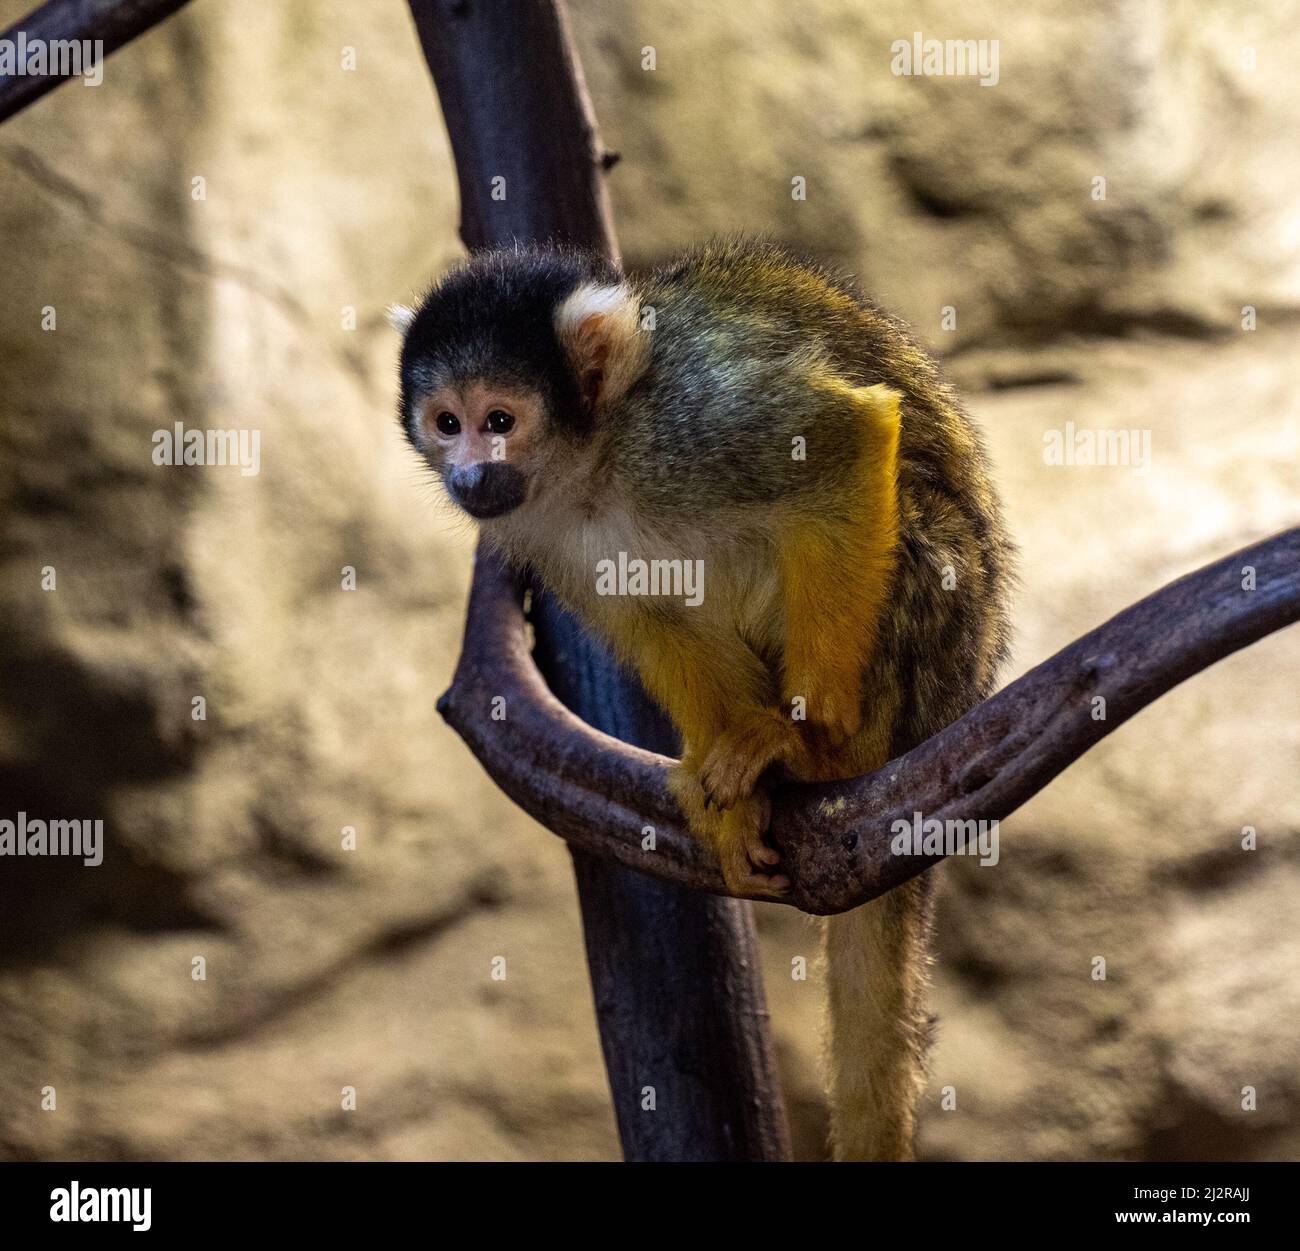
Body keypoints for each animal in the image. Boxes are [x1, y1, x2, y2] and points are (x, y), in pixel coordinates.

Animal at [395, 239, 1013, 1154]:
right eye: (446, 422)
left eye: (499, 420)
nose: (471, 472)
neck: (599, 459)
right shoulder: (541, 527)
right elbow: (648, 615)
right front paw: (735, 792)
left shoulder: (691, 421)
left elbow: (845, 440)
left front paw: (807, 733)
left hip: (940, 653)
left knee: (902, 510)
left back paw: (828, 754)